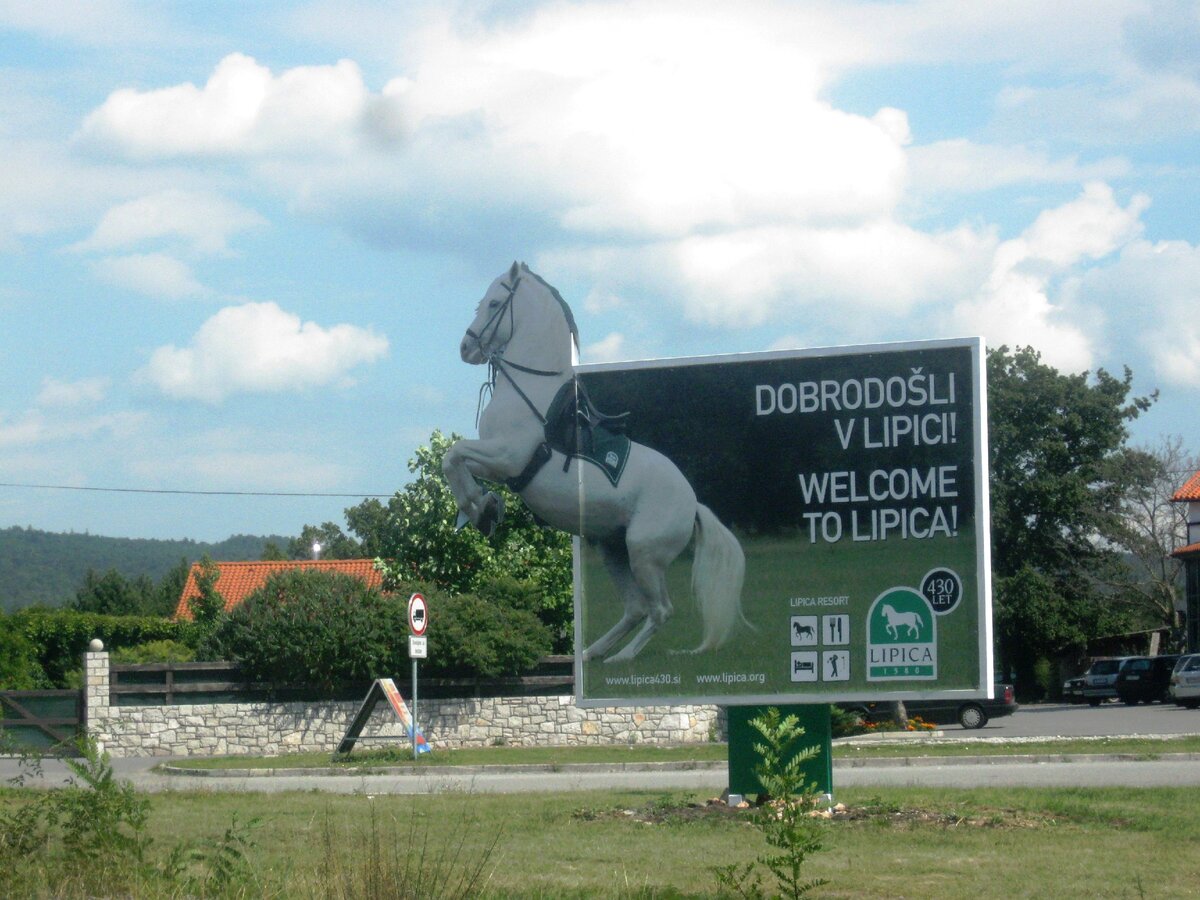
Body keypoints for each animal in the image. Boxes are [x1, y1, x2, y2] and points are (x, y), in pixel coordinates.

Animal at [446, 260, 744, 662]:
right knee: (635, 609)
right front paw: (486, 507)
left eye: (494, 304)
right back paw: (592, 653)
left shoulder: (507, 457)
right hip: (613, 550)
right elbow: (457, 464)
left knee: (660, 610)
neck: (532, 388)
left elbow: (452, 455)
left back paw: (622, 657)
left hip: (643, 554)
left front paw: (479, 509)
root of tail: (693, 504)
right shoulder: (499, 463)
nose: (466, 347)